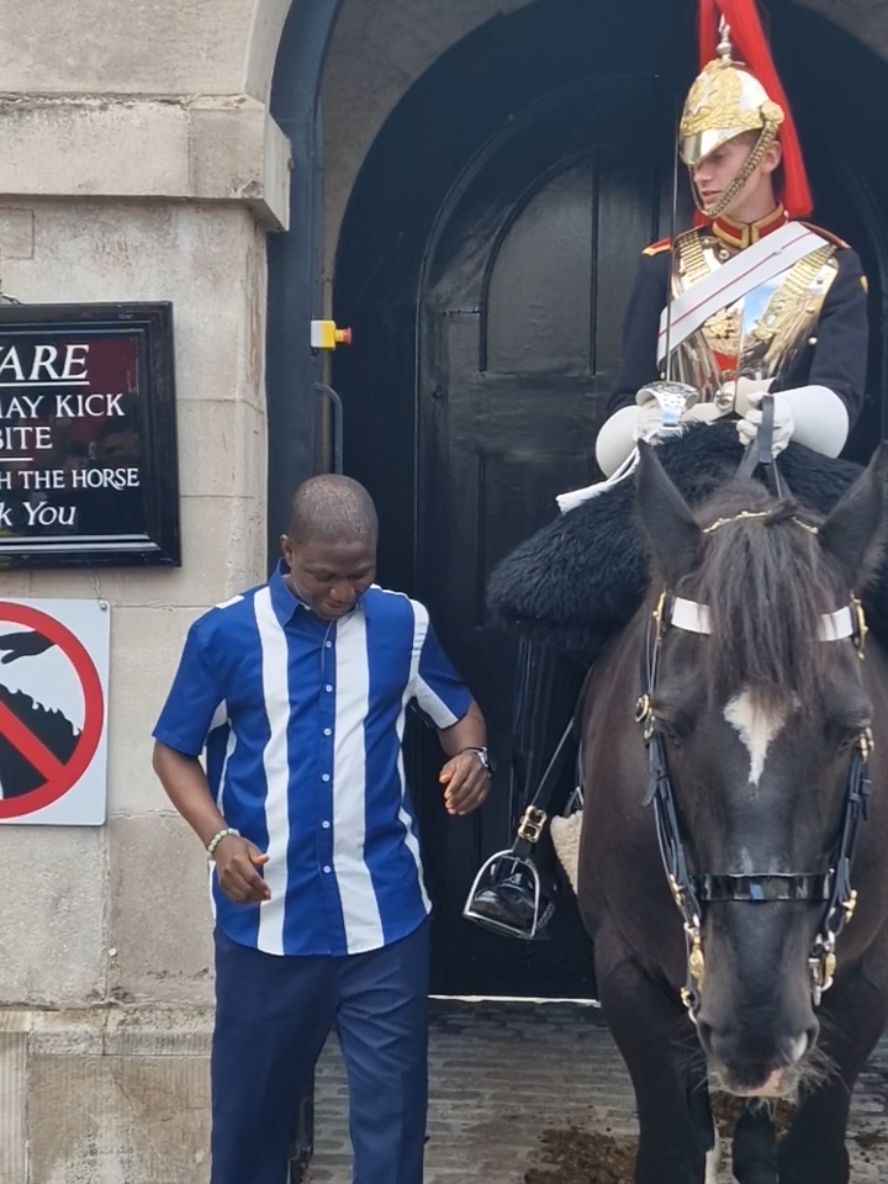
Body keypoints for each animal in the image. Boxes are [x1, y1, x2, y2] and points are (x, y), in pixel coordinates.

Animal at [577, 445, 888, 1184]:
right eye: (669, 725)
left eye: (851, 729)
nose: (755, 1020)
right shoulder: (626, 972)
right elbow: (672, 1150)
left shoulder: (866, 977)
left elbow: (814, 1157)